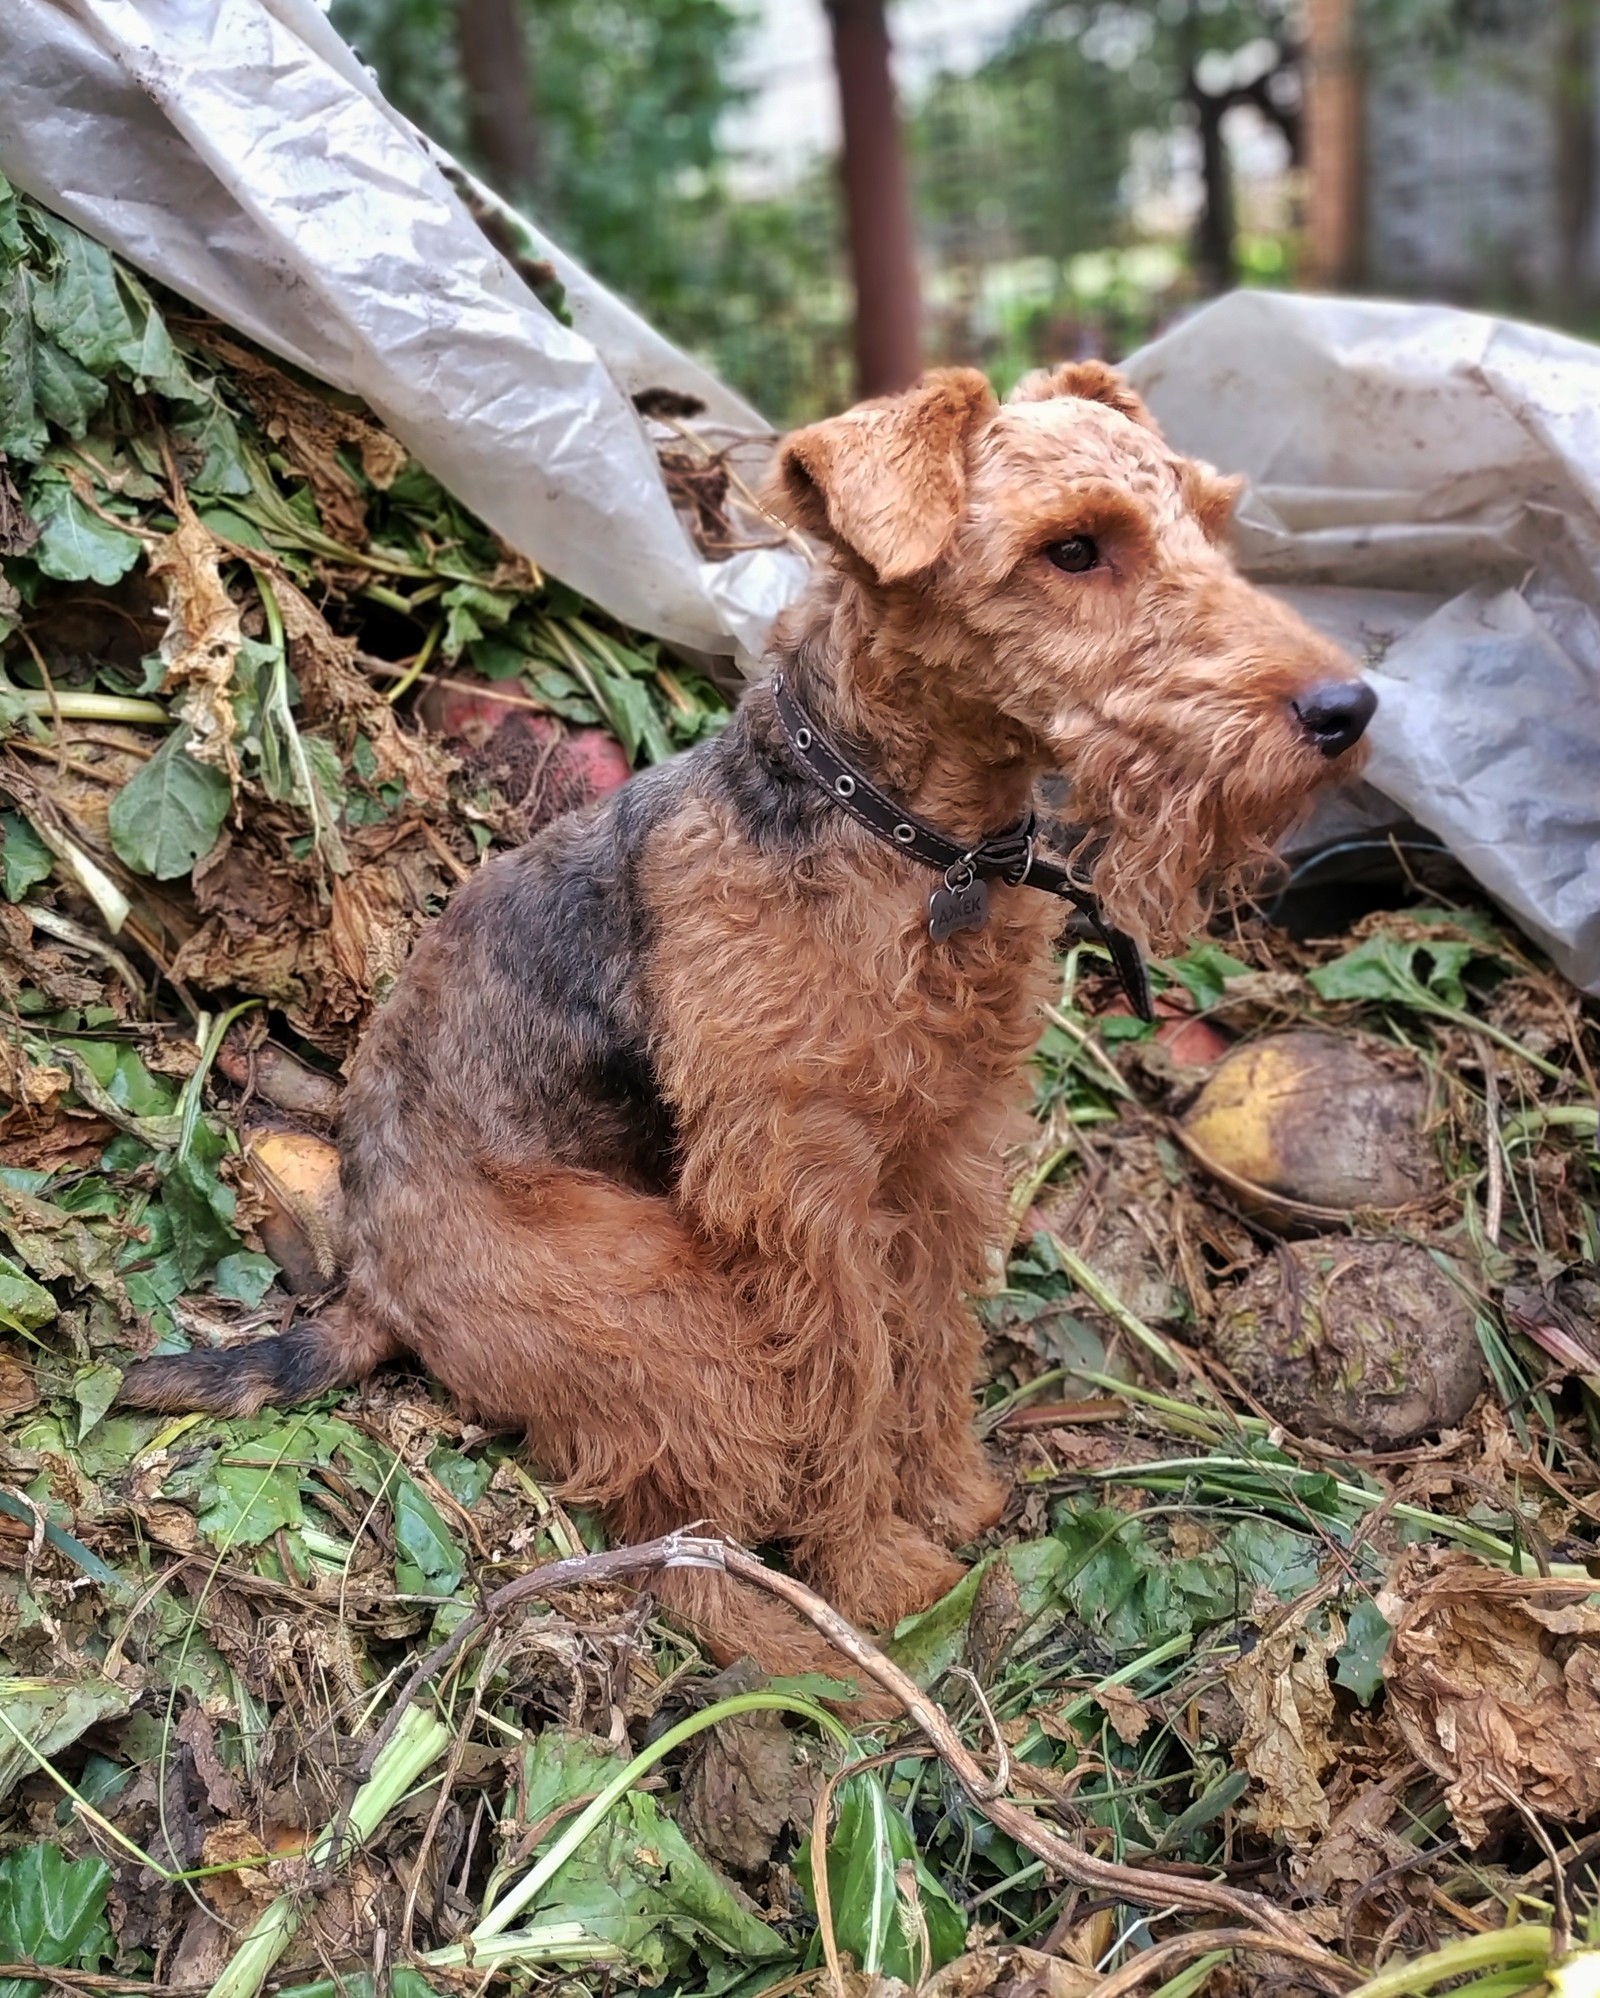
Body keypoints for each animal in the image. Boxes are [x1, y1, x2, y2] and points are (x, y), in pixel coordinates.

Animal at [124, 363, 1374, 1686]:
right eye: (1074, 547)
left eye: (1212, 521)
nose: (1347, 708)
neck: (912, 847)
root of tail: (367, 1287)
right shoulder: (795, 1187)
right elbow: (851, 1380)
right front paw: (880, 1572)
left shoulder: (941, 1148)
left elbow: (929, 1341)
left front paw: (953, 1498)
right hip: (667, 1313)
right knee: (679, 1547)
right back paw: (839, 1674)